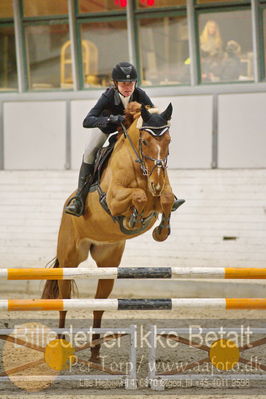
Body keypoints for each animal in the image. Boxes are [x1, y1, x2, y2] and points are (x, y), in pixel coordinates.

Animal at [41, 101, 175, 362]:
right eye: (145, 141)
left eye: (168, 140)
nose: (155, 182)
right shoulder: (114, 199)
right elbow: (139, 196)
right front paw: (134, 218)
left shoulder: (164, 191)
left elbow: (166, 199)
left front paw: (161, 230)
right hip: (70, 259)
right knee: (65, 300)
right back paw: (61, 346)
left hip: (108, 261)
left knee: (99, 304)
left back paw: (95, 352)